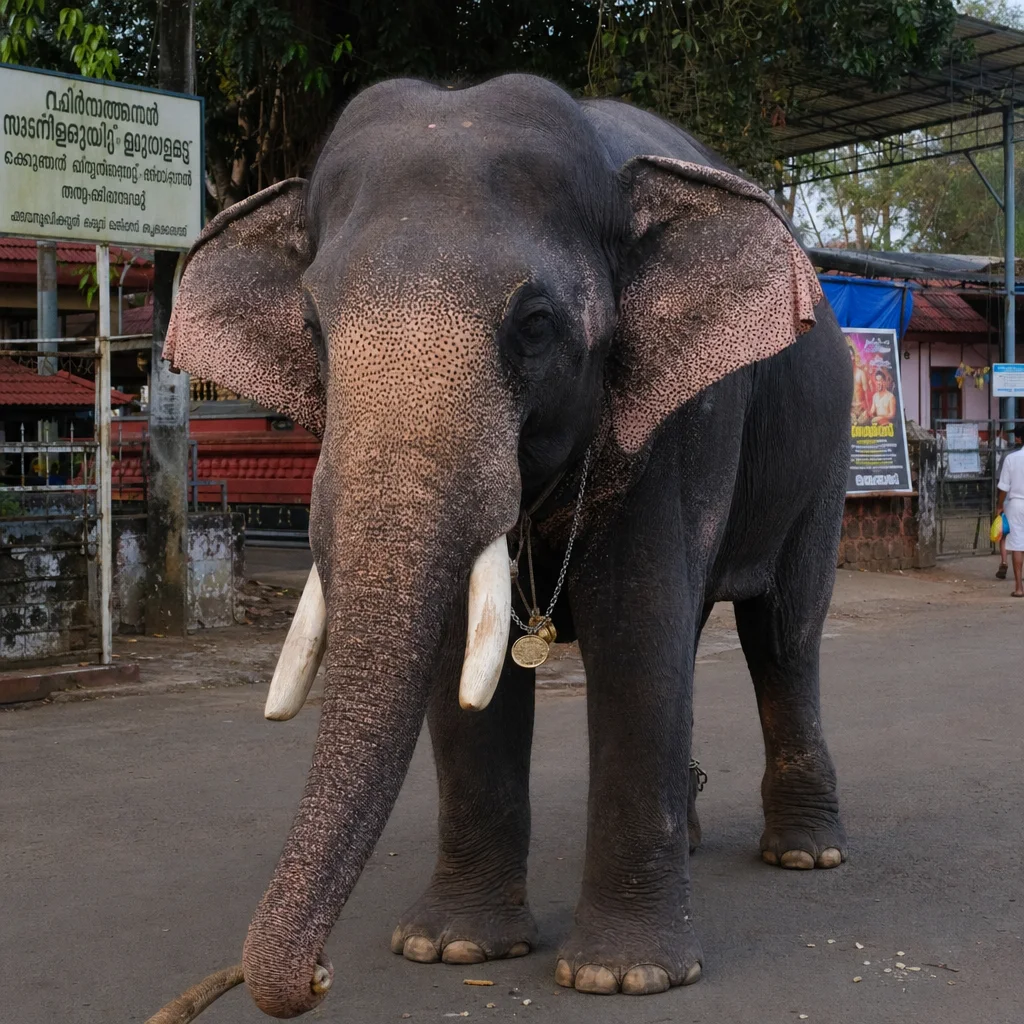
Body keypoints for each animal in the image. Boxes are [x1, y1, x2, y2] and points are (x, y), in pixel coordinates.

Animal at [162, 72, 852, 1020]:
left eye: (534, 322)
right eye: (311, 325)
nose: (317, 974)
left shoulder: (681, 420)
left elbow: (639, 634)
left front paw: (622, 976)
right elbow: (466, 660)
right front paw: (449, 948)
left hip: (826, 454)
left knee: (783, 634)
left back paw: (807, 853)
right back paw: (692, 838)